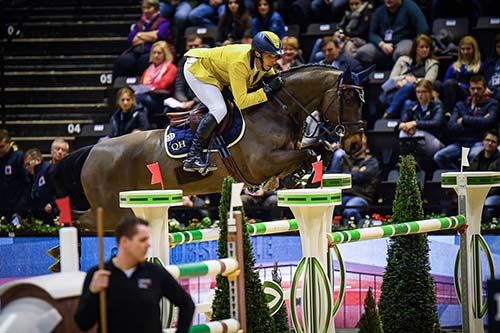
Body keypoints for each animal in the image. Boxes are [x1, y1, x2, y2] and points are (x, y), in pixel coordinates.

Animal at [56, 63, 374, 230]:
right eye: (349, 99)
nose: (356, 143)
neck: (276, 109)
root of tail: (92, 151)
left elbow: (314, 151)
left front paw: (294, 178)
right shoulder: (261, 163)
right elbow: (306, 153)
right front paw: (286, 179)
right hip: (112, 211)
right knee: (80, 220)